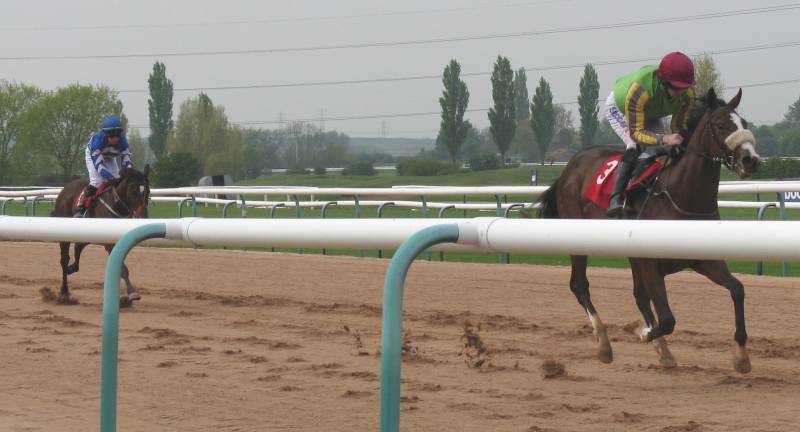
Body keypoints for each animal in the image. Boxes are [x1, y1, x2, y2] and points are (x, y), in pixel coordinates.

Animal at [51, 166, 151, 304]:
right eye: (133, 191)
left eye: (148, 191)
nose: (143, 217)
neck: (116, 204)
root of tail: (64, 190)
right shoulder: (109, 244)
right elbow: (122, 269)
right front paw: (132, 292)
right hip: (65, 233)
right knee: (64, 259)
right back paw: (64, 290)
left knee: (78, 248)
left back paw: (72, 268)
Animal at [537, 88, 761, 373]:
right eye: (721, 125)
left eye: (745, 124)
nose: (750, 160)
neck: (680, 195)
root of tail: (570, 166)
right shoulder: (651, 264)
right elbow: (666, 319)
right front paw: (641, 332)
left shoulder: (703, 260)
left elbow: (738, 290)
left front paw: (741, 357)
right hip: (580, 239)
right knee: (580, 285)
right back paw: (604, 344)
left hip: (633, 254)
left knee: (639, 296)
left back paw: (661, 351)